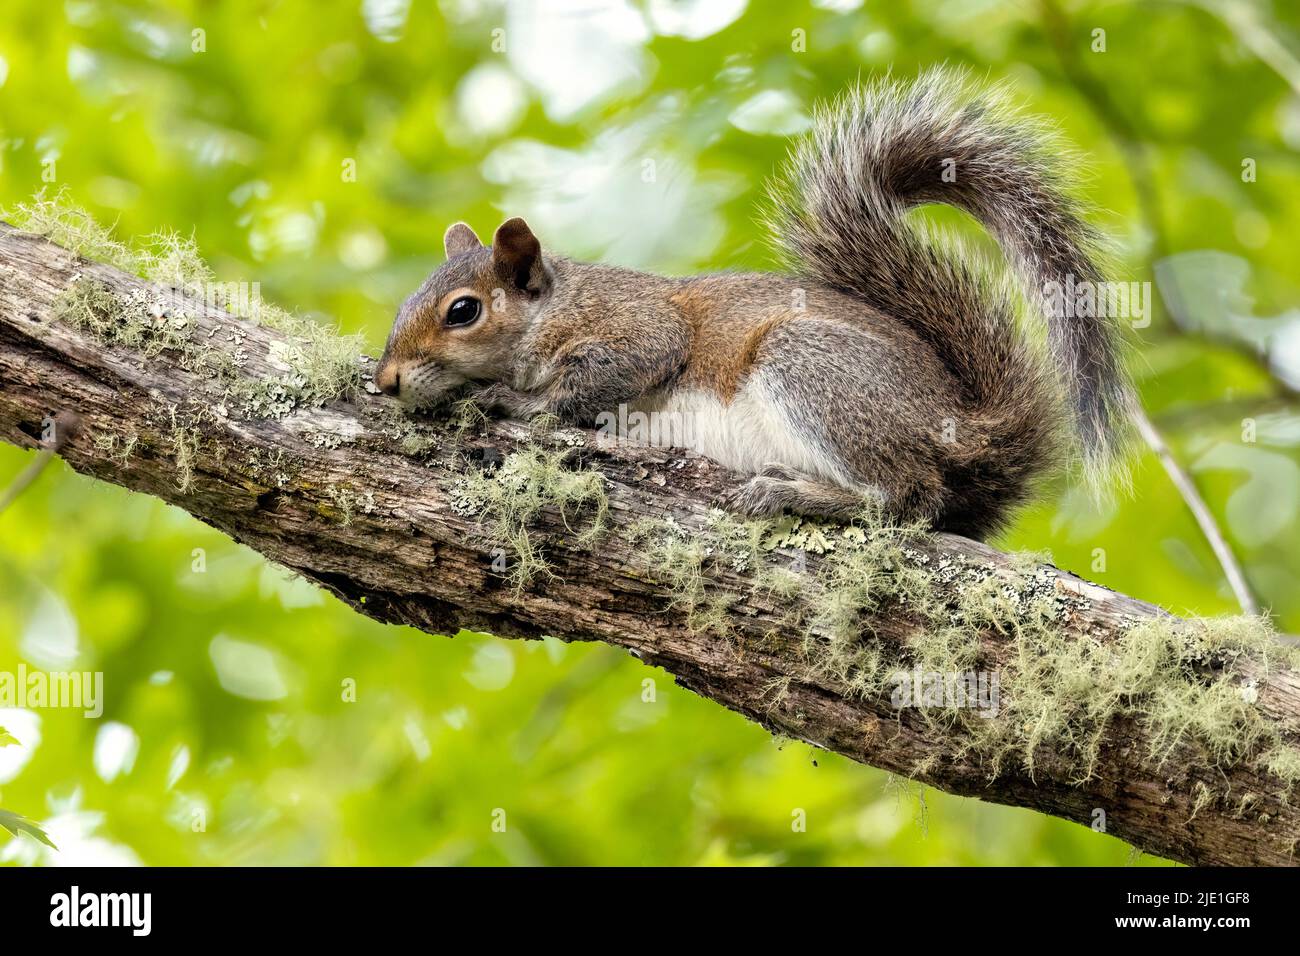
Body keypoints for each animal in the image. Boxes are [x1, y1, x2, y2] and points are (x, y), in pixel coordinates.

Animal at [374, 69, 1128, 538]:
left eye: (463, 311)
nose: (386, 380)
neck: (557, 306)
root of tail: (964, 426)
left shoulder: (636, 327)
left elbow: (600, 377)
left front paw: (516, 402)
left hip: (812, 369)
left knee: (905, 495)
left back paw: (794, 490)